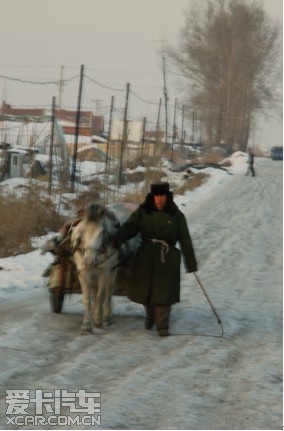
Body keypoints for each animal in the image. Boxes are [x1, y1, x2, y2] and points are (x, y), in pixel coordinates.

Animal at [71, 202, 120, 334]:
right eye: (82, 231)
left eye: (102, 232)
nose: (88, 261)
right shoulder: (83, 272)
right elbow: (87, 298)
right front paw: (87, 325)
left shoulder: (104, 271)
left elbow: (100, 296)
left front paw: (98, 320)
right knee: (94, 289)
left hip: (112, 269)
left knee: (109, 290)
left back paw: (106, 317)